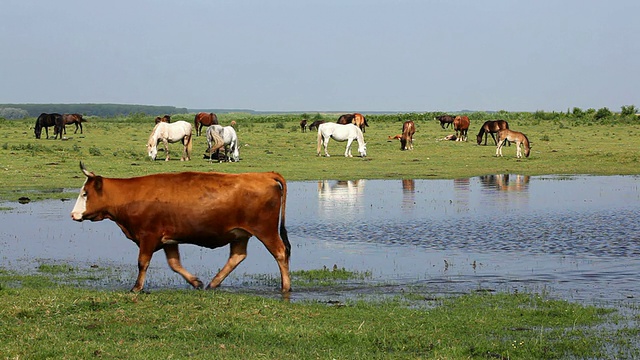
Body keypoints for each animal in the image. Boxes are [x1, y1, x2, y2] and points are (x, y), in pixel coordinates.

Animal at [70, 162, 290, 292]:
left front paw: (136, 288)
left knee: (280, 253)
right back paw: (213, 283)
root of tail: (264, 175)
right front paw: (195, 282)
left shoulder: (148, 236)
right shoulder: (169, 239)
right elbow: (174, 264)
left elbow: (142, 262)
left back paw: (285, 287)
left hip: (266, 230)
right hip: (240, 234)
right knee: (237, 256)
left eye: (85, 193)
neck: (131, 195)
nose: (73, 215)